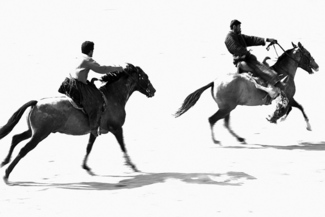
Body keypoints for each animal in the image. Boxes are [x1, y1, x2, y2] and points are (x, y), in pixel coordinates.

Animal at [0, 63, 156, 183]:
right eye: (145, 76)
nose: (153, 91)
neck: (112, 98)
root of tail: (37, 103)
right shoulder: (117, 129)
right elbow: (123, 147)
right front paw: (132, 166)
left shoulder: (94, 130)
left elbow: (89, 147)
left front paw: (86, 167)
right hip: (40, 135)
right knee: (23, 149)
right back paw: (7, 173)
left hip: (32, 132)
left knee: (16, 138)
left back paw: (4, 161)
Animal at [175, 42, 318, 144]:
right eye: (308, 53)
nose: (317, 66)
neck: (283, 73)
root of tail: (214, 82)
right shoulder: (288, 96)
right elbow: (295, 107)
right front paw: (278, 118)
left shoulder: (288, 98)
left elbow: (295, 108)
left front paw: (278, 118)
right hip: (227, 108)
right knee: (212, 119)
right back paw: (216, 141)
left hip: (227, 108)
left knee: (225, 123)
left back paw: (240, 139)